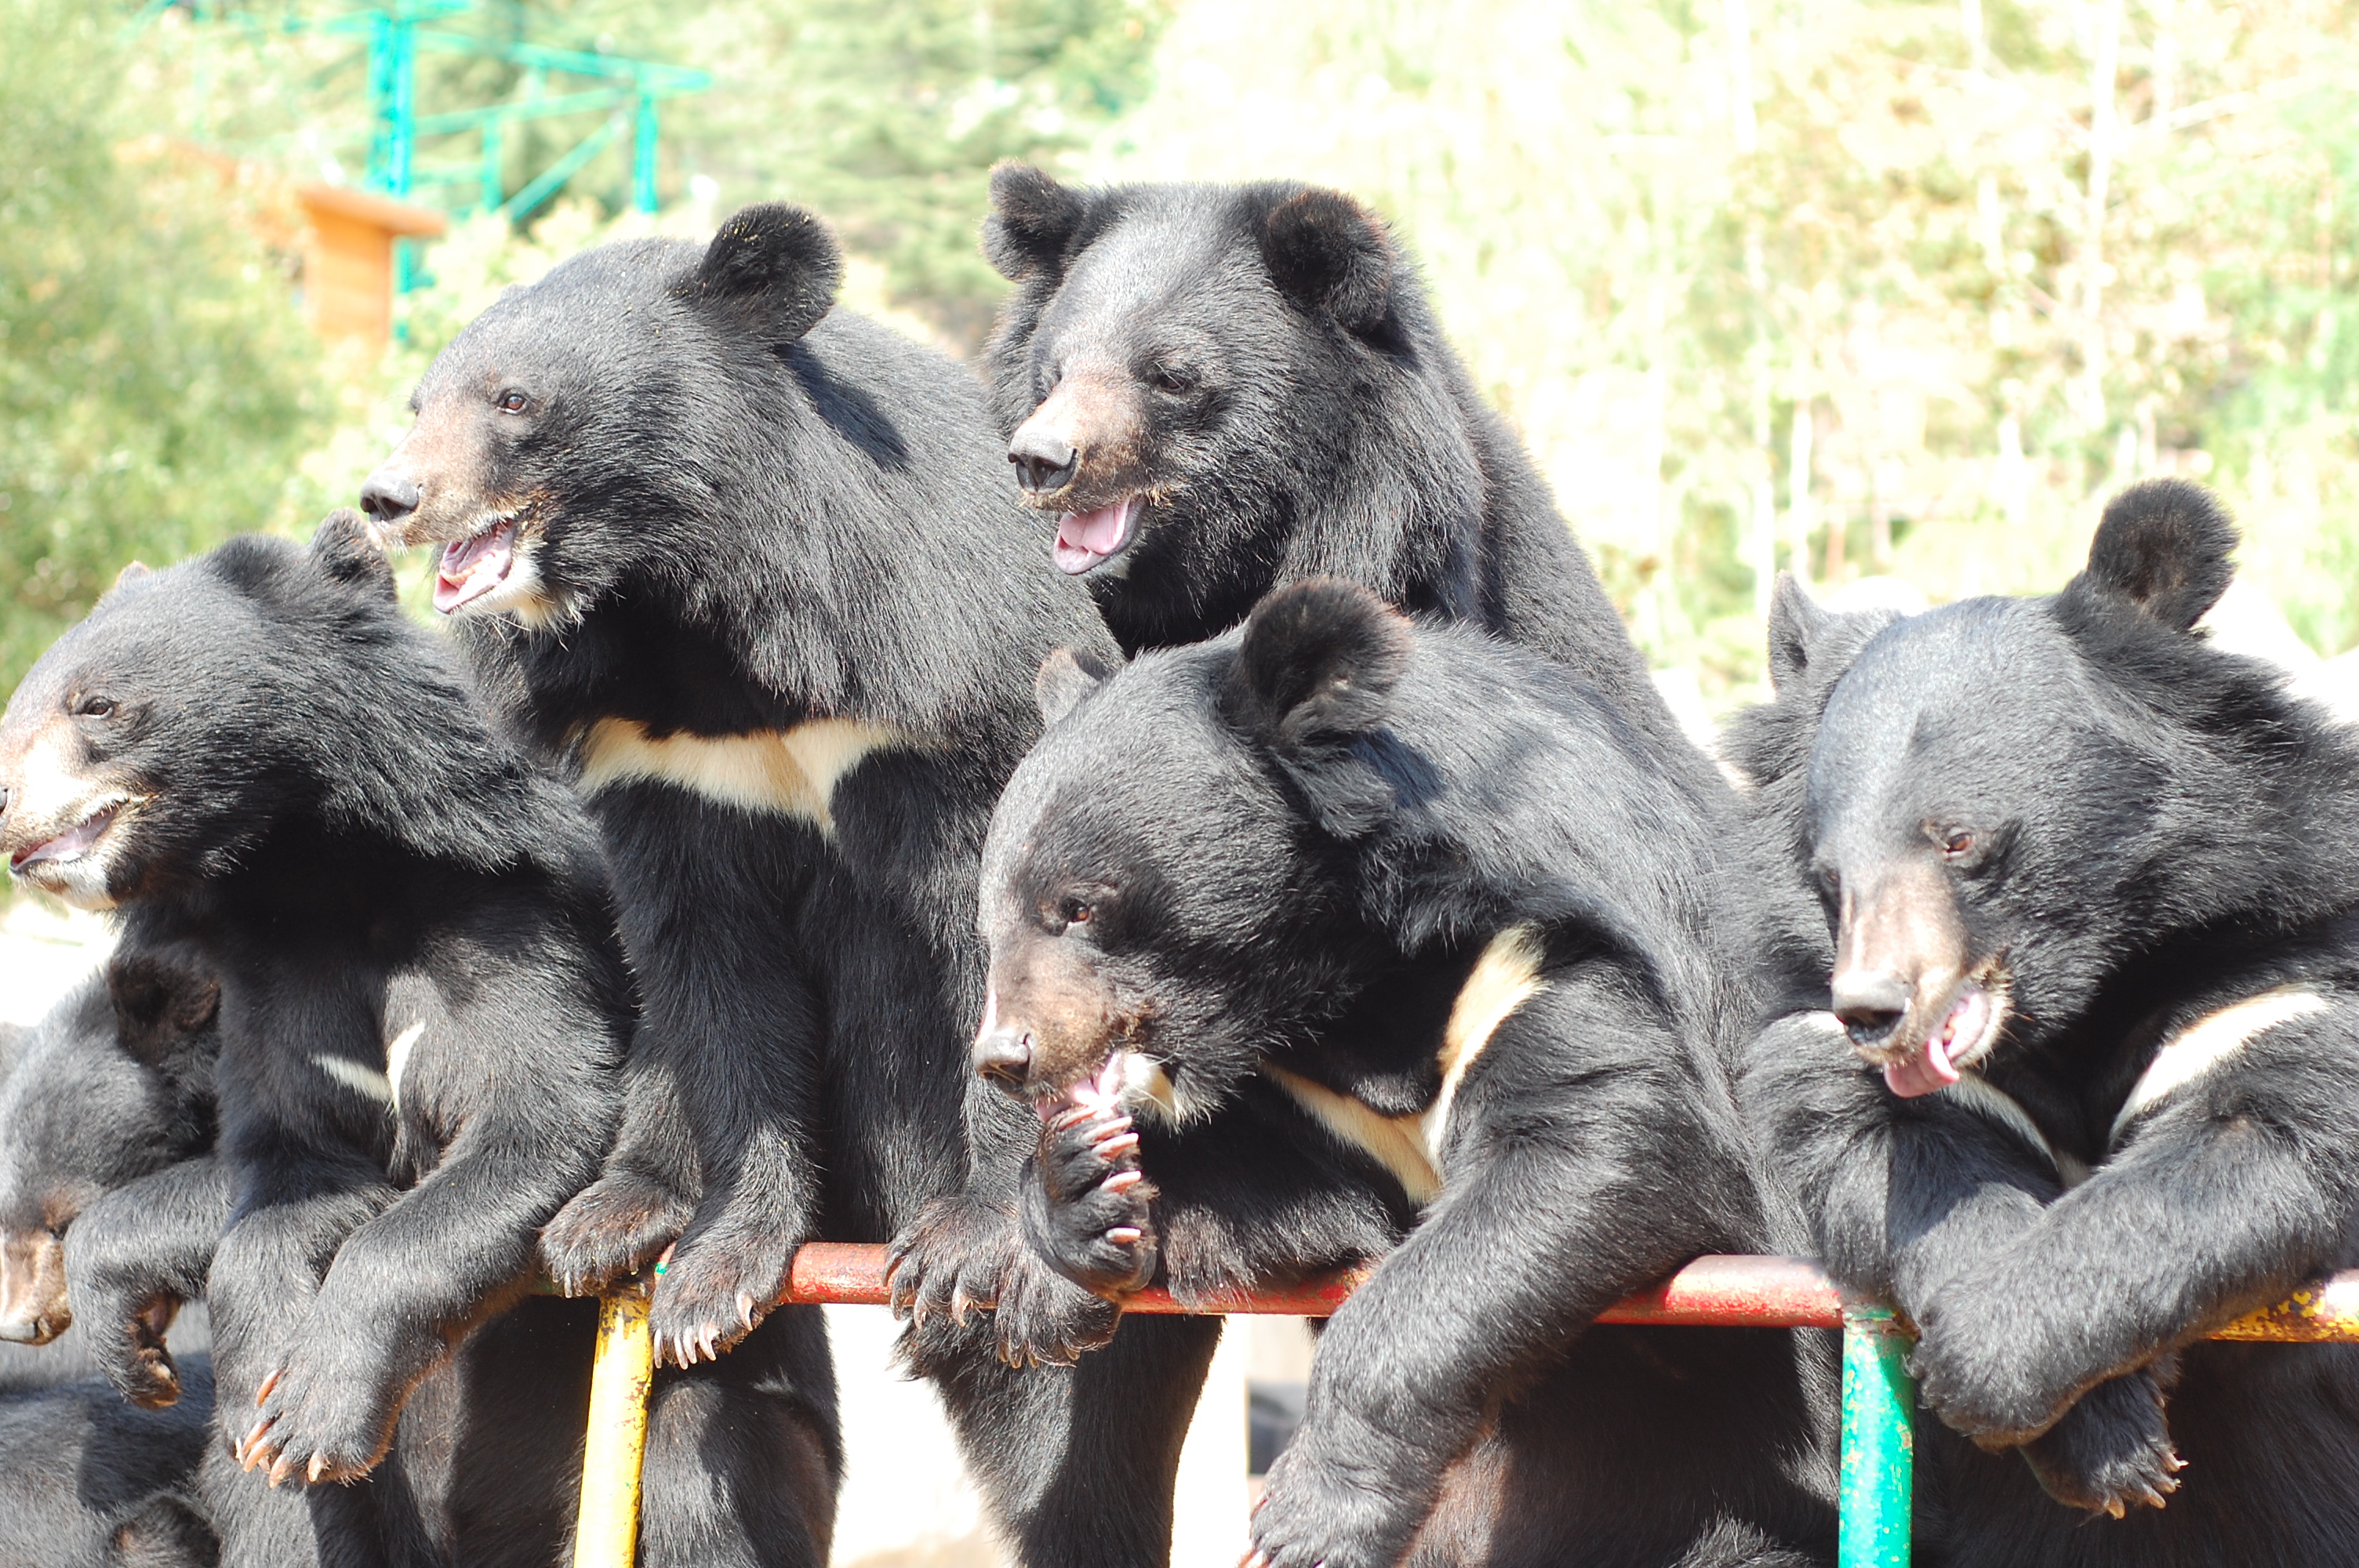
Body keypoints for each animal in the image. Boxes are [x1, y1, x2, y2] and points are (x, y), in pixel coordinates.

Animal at [361, 207, 1227, 1565]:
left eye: (515, 401)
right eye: (417, 402)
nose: (390, 497)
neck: (692, 612)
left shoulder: (936, 682)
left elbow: (992, 946)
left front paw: (977, 1242)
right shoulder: (663, 767)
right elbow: (713, 974)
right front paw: (715, 1279)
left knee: (1074, 1438)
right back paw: (618, 1215)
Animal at [892, 579, 1830, 1565]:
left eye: (1076, 906)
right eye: (991, 918)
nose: (1006, 1056)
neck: (1336, 982)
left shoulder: (1544, 956)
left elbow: (1597, 1146)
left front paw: (1303, 1518)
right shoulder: (1296, 1088)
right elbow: (1290, 1213)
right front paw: (1064, 1223)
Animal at [1745, 483, 2359, 1555]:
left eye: (1958, 840)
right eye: (1828, 874)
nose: (1871, 1010)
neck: (2071, 999)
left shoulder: (2274, 971)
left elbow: (2248, 1140)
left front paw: (1981, 1364)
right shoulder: (1827, 1038)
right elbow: (1913, 1160)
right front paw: (2105, 1442)